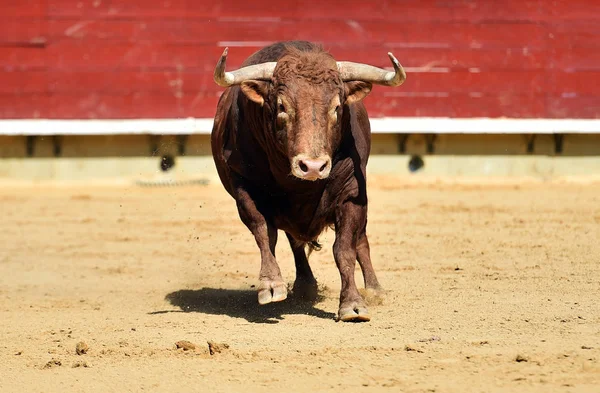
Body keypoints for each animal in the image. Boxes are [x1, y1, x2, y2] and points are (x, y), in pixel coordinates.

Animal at [211, 40, 408, 322]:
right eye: (282, 106)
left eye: (337, 107)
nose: (313, 167)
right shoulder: (244, 188)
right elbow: (264, 232)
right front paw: (271, 284)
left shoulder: (352, 192)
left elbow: (345, 249)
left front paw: (353, 304)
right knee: (294, 243)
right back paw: (305, 286)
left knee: (361, 240)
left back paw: (374, 289)